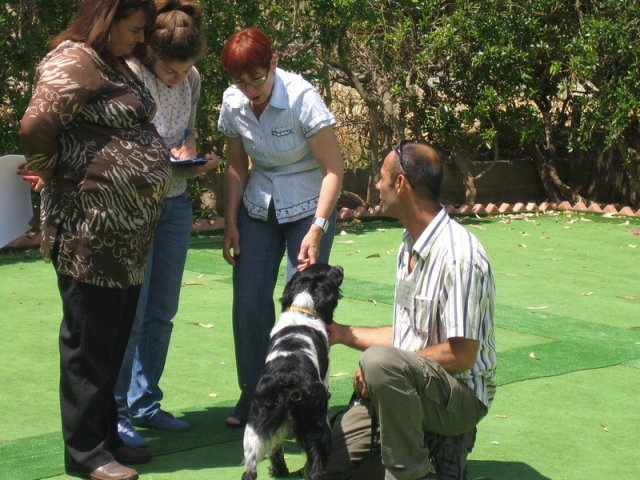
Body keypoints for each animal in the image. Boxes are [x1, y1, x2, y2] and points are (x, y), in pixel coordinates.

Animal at [242, 264, 344, 478]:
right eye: (331, 270)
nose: (340, 267)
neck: (303, 311)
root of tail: (287, 379)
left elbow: (276, 448)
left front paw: (278, 470)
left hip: (255, 427)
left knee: (250, 470)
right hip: (318, 427)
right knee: (315, 469)